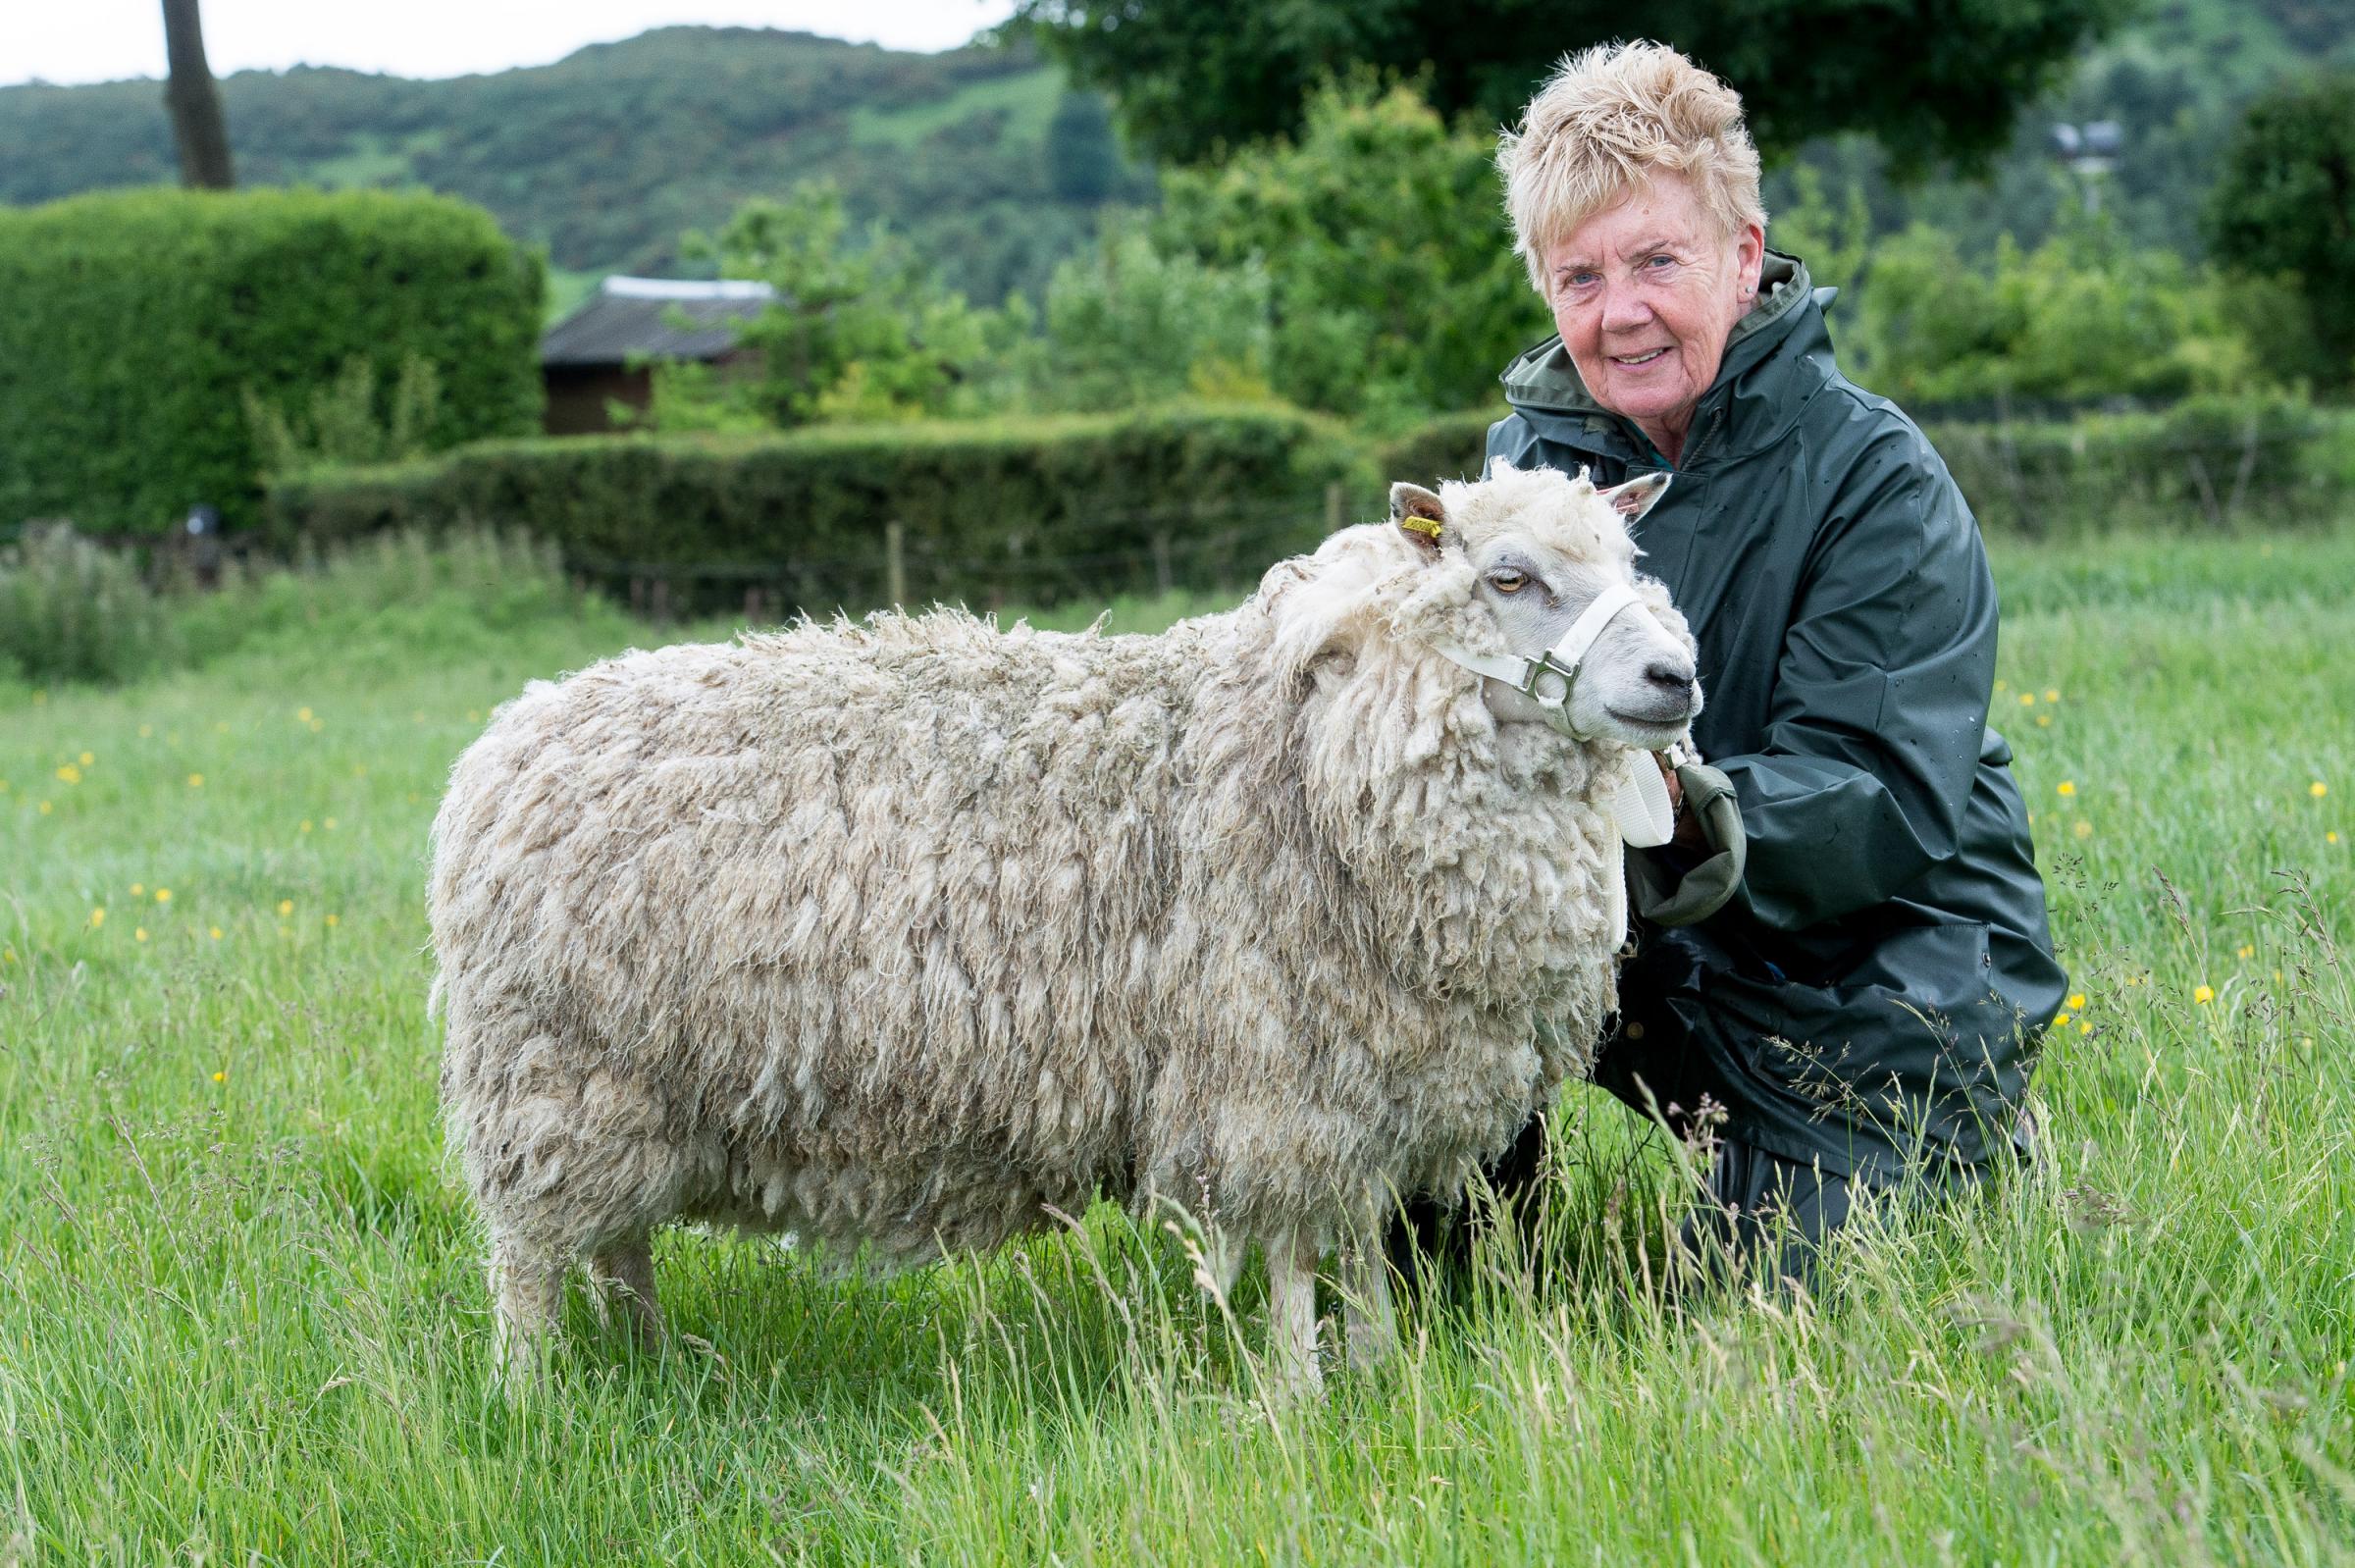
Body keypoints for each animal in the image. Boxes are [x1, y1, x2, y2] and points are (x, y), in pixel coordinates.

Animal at [433, 458, 1704, 1384]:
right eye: (1509, 577)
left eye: (1629, 561)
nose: (1675, 677)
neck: (1313, 751)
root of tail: (508, 737)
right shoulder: (1274, 1078)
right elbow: (1299, 1251)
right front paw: (1302, 1398)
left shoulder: (1372, 1086)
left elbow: (1357, 1243)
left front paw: (1382, 1372)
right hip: (553, 1073)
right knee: (534, 1255)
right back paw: (536, 1392)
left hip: (633, 1085)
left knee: (620, 1241)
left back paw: (649, 1360)